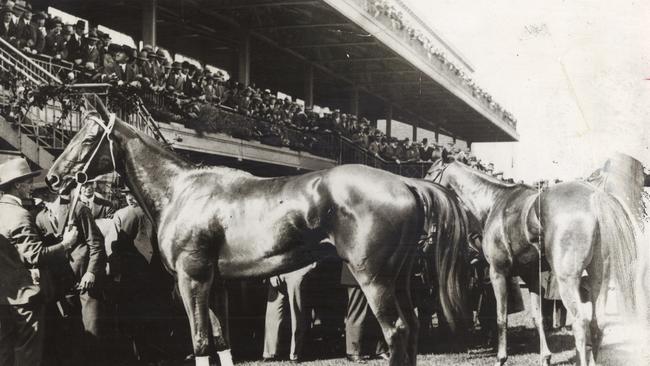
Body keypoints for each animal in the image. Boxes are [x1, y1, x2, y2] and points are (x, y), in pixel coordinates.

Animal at [48, 96, 468, 366]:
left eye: (88, 139)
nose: (53, 178)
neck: (182, 191)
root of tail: (406, 182)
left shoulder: (191, 279)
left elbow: (201, 342)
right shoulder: (216, 283)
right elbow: (220, 341)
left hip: (374, 278)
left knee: (396, 331)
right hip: (400, 279)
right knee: (412, 327)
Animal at [426, 153, 636, 364]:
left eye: (429, 172)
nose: (425, 194)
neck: (495, 200)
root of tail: (594, 197)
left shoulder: (497, 272)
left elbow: (501, 317)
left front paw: (501, 358)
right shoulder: (532, 275)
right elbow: (538, 317)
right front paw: (545, 357)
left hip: (567, 280)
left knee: (580, 322)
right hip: (599, 278)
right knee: (597, 322)